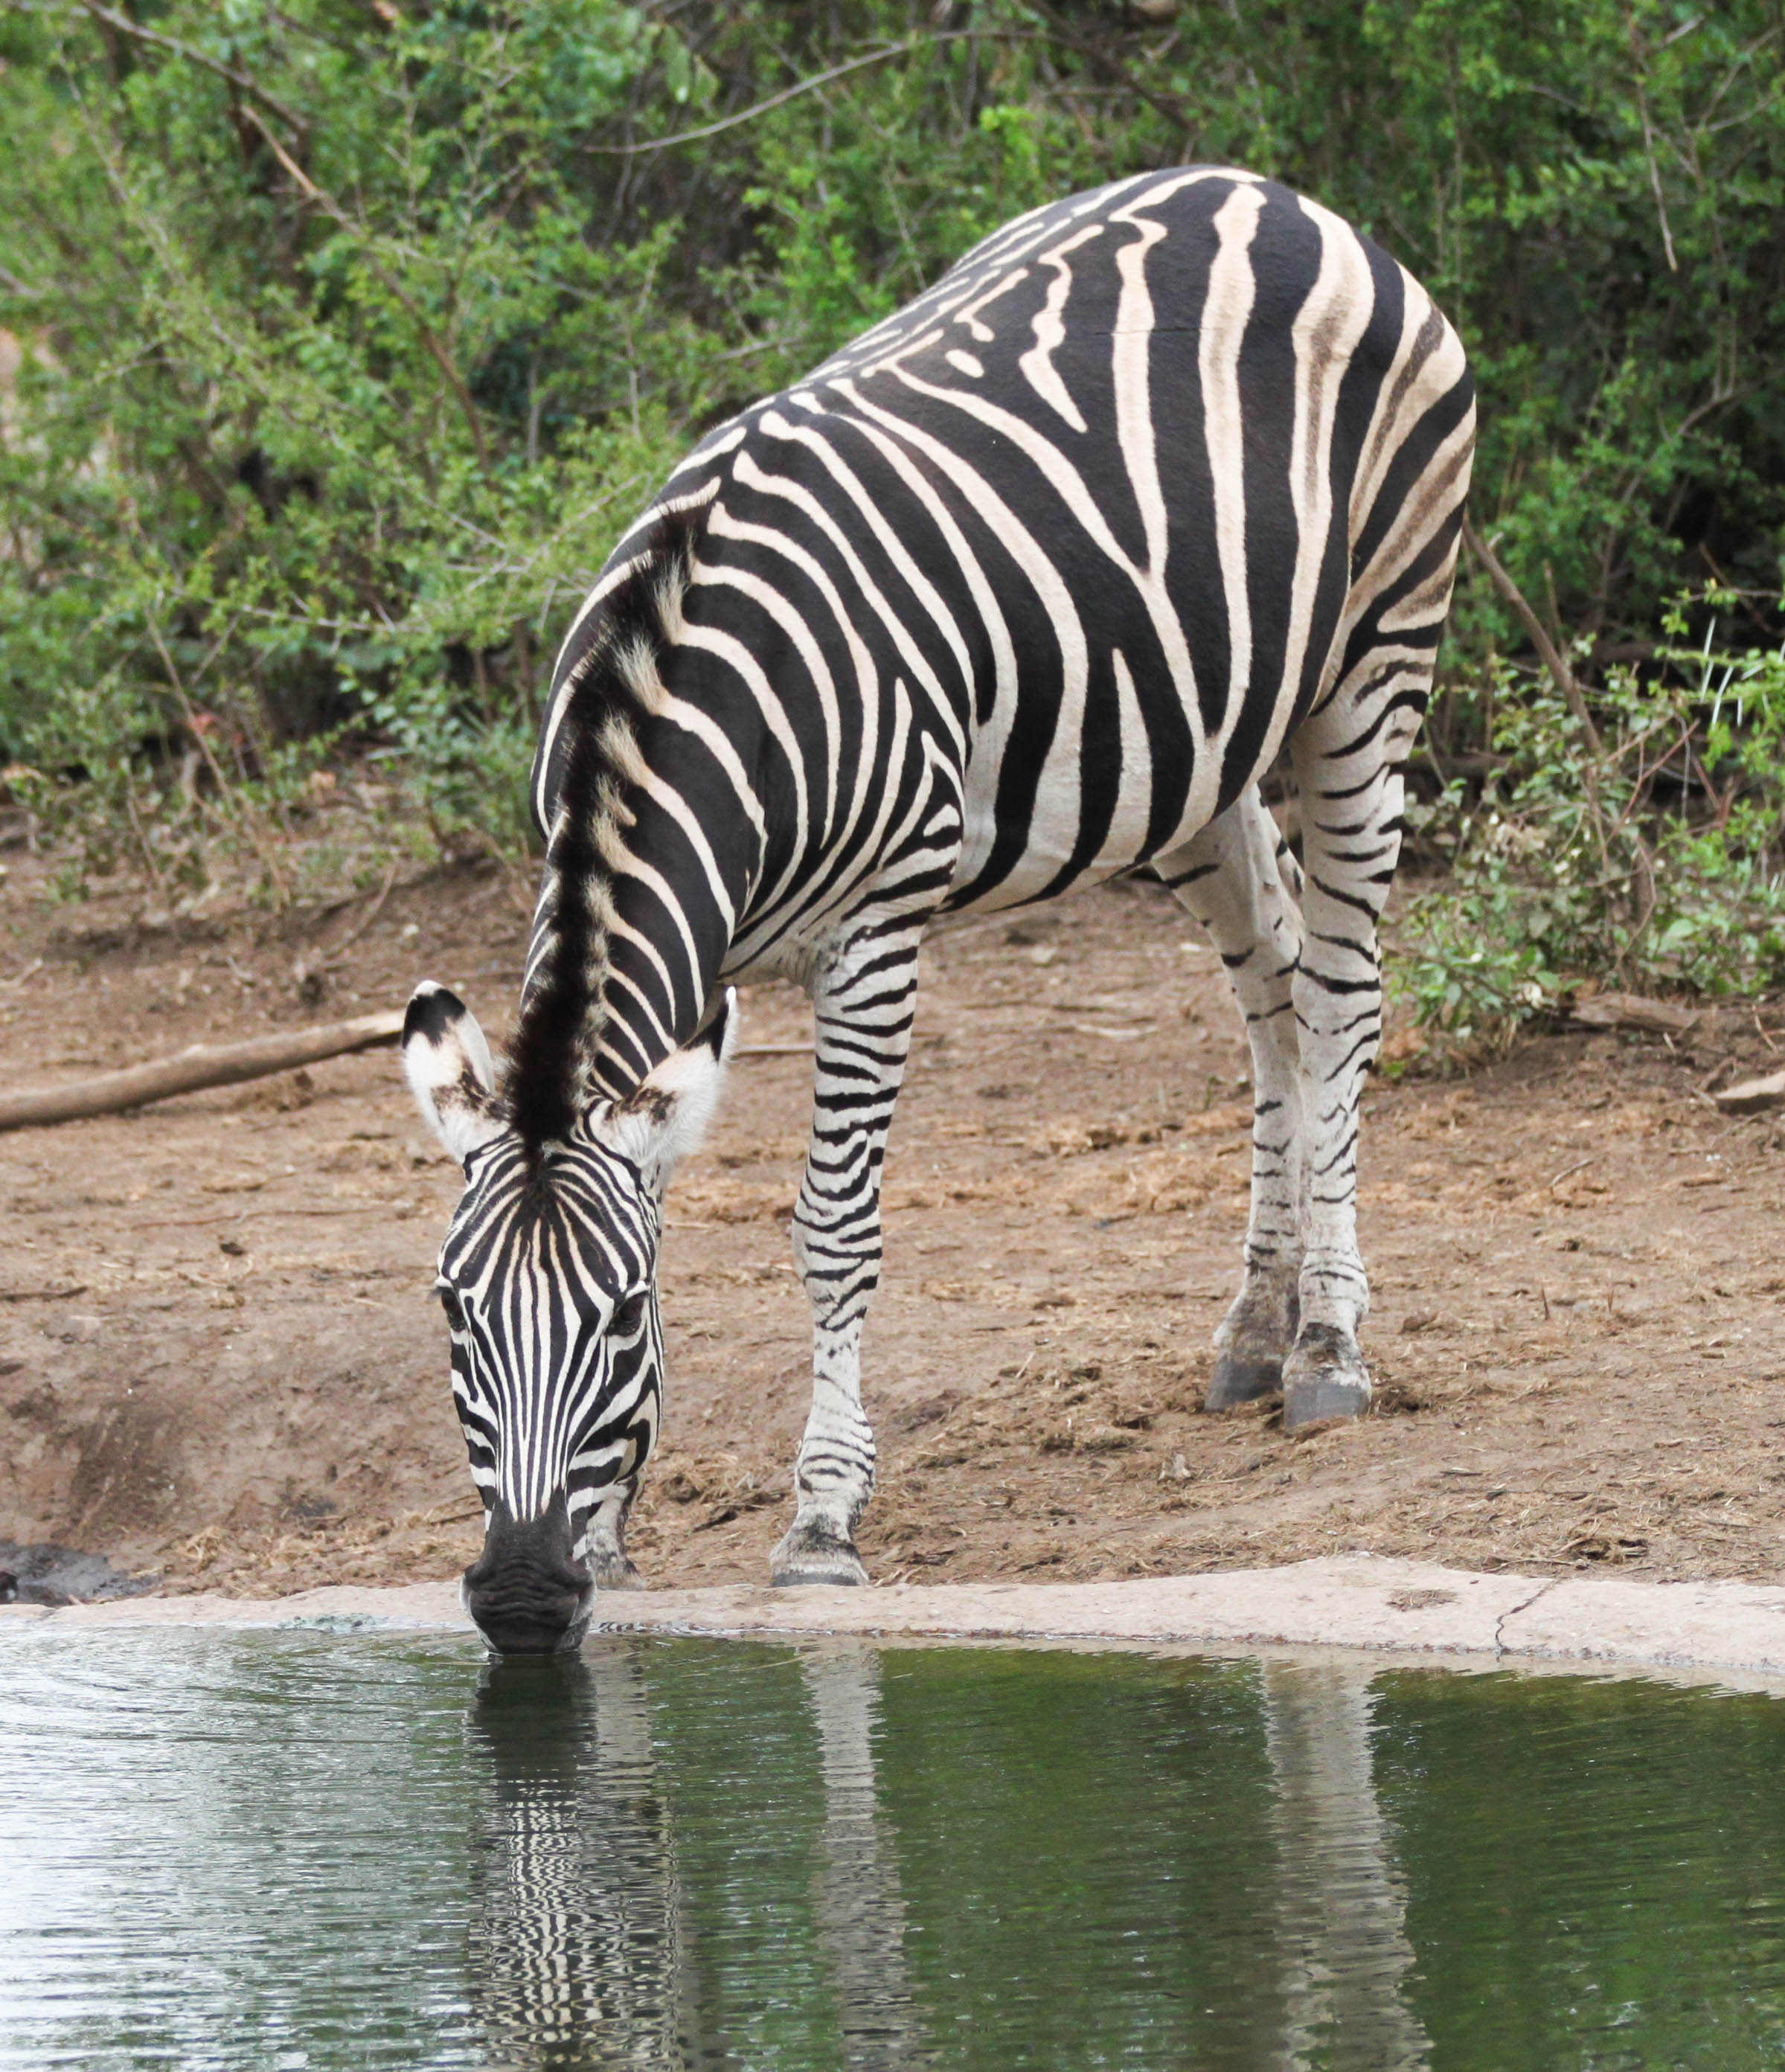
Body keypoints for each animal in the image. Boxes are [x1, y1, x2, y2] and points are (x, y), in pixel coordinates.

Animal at [408, 165, 1475, 1649]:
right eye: (455, 1314)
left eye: (615, 1320)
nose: (516, 1598)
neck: (681, 693)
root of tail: (1277, 196)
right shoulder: (697, 976)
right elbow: (661, 1185)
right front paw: (610, 1529)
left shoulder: (875, 933)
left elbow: (832, 1228)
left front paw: (820, 1518)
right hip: (1191, 754)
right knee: (1269, 996)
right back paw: (1252, 1334)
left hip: (1372, 672)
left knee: (1336, 997)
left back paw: (1326, 1345)